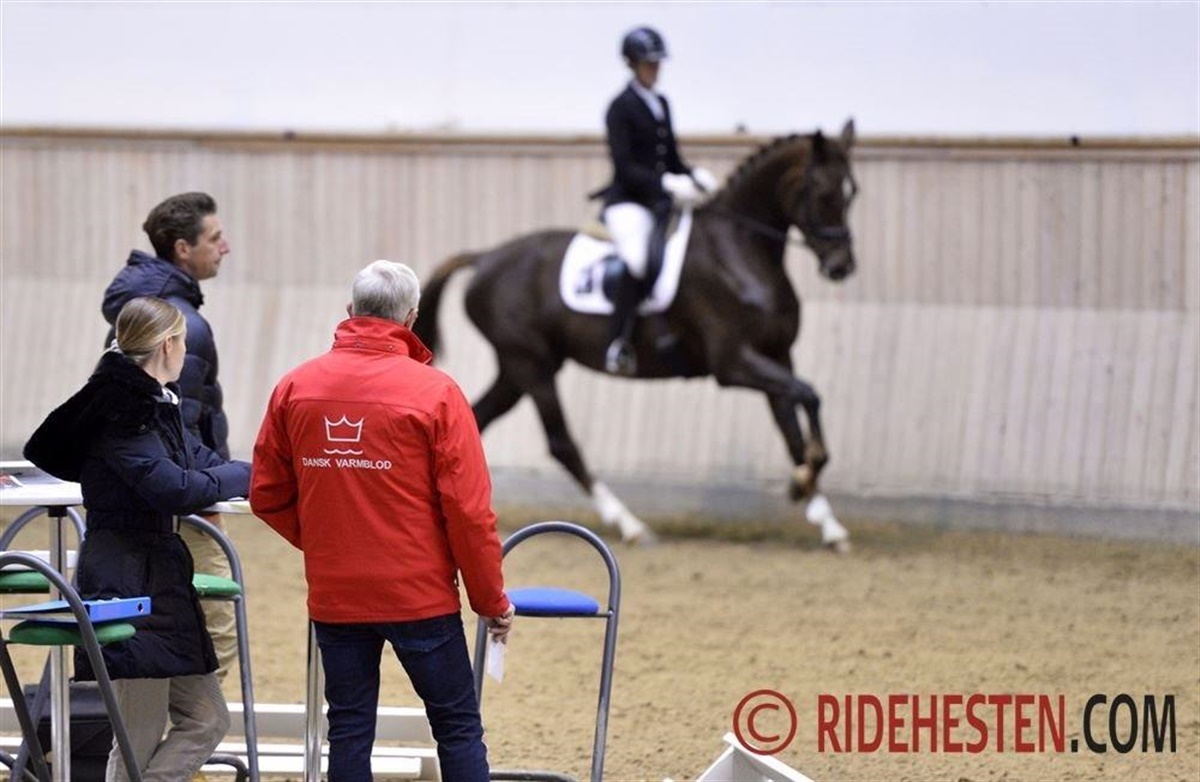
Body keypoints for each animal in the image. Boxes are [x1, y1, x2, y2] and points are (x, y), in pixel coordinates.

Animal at [414, 119, 858, 548]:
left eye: (852, 193)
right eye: (822, 192)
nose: (841, 266)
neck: (737, 252)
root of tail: (485, 259)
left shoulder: (777, 354)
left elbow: (793, 429)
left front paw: (825, 518)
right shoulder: (733, 364)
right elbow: (809, 396)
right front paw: (801, 486)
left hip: (519, 366)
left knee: (480, 418)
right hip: (530, 363)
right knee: (562, 443)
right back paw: (630, 525)